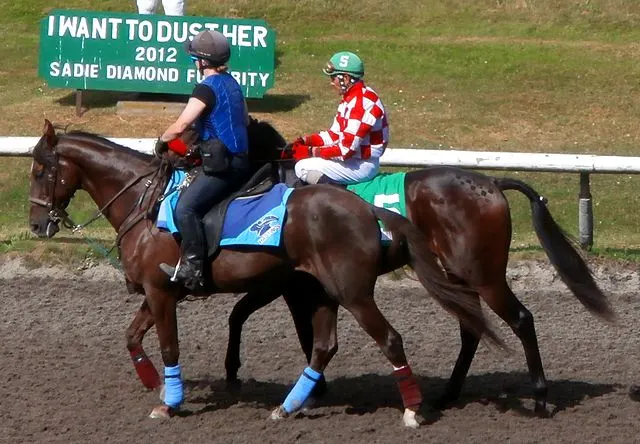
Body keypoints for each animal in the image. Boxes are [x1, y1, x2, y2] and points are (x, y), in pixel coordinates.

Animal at [27, 119, 502, 427]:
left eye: (40, 169)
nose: (36, 224)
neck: (148, 205)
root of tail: (367, 208)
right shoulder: (161, 290)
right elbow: (131, 337)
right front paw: (156, 385)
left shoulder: (163, 291)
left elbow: (168, 345)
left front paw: (171, 400)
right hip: (325, 289)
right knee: (325, 346)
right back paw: (290, 405)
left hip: (356, 291)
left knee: (391, 339)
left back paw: (413, 409)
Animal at [218, 120, 615, 416]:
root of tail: (491, 182)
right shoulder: (299, 284)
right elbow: (265, 321)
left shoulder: (284, 282)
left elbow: (257, 319)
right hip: (457, 273)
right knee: (472, 328)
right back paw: (448, 394)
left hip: (485, 276)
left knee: (520, 319)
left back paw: (540, 397)